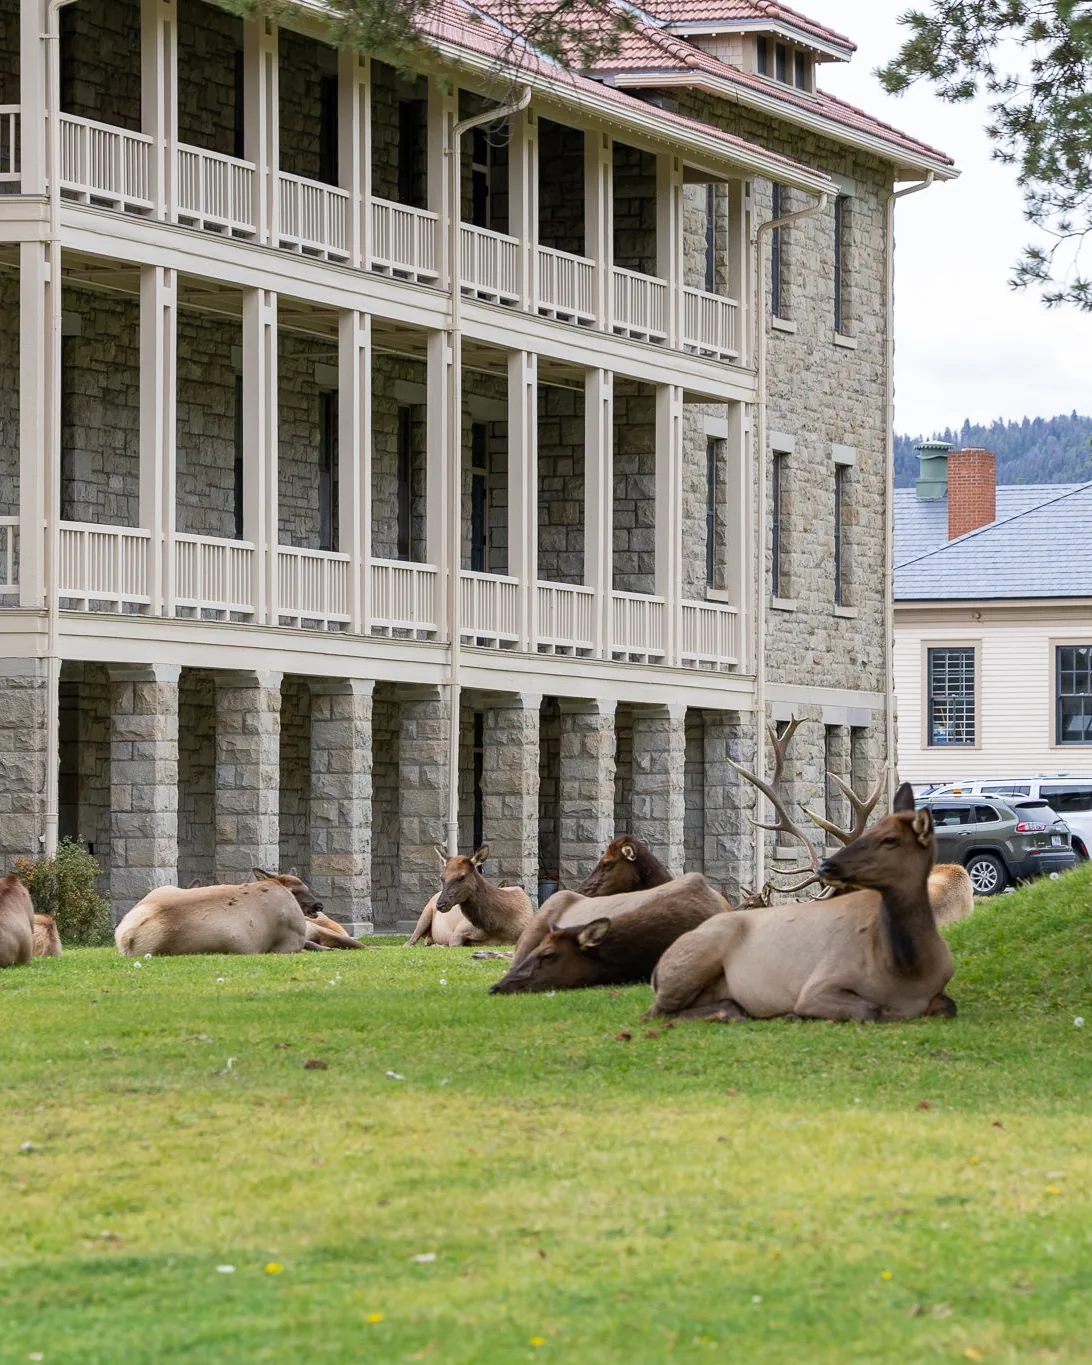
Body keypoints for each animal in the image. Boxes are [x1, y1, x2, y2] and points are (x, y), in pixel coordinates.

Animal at [404, 846, 534, 948]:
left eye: (462, 877)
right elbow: (452, 944)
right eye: (442, 877)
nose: (440, 904)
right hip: (425, 913)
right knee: (410, 942)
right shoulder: (459, 930)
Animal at [648, 782, 956, 1023]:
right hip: (695, 958)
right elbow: (872, 1010)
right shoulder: (819, 985)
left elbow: (948, 1005)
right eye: (871, 832)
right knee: (655, 1013)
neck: (906, 970)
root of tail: (655, 972)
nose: (827, 866)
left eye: (889, 839)